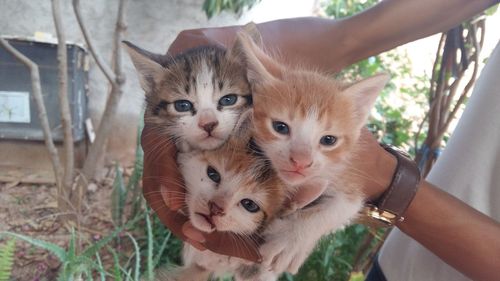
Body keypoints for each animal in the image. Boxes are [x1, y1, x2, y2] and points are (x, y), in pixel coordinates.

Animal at [232, 31, 388, 274]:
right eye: (280, 127)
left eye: (328, 140)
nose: (300, 162)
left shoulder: (347, 172)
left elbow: (342, 207)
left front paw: (291, 241)